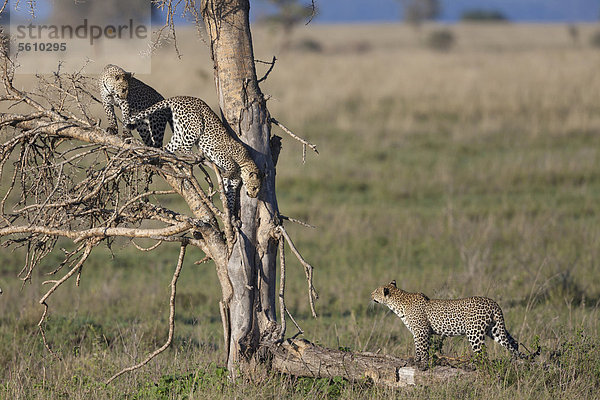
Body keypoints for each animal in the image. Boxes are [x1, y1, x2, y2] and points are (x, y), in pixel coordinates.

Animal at [123, 96, 260, 216]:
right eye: (254, 188)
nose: (253, 196)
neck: (246, 162)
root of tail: (180, 97)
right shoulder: (221, 153)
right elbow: (231, 166)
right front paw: (223, 173)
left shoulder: (232, 183)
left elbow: (230, 196)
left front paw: (231, 217)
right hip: (195, 126)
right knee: (183, 147)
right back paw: (195, 156)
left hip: (179, 131)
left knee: (167, 148)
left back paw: (165, 158)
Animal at [372, 282, 536, 368]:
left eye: (375, 291)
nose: (370, 294)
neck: (398, 305)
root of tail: (494, 303)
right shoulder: (417, 332)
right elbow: (418, 348)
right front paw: (416, 361)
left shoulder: (422, 331)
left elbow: (423, 348)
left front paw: (423, 365)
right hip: (494, 329)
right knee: (513, 343)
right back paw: (516, 361)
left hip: (474, 332)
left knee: (483, 353)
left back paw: (474, 366)